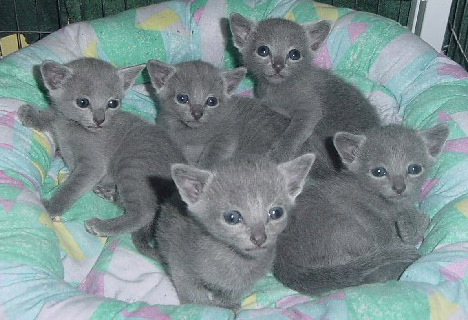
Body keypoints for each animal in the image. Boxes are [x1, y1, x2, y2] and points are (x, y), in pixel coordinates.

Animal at [18, 58, 186, 236]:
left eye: (112, 103)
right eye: (82, 102)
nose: (99, 119)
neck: (74, 127)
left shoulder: (93, 165)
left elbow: (71, 187)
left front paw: (50, 207)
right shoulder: (60, 119)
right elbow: (52, 115)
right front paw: (32, 115)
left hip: (133, 163)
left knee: (144, 212)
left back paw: (102, 226)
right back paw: (107, 192)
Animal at [155, 154, 312, 308]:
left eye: (276, 213)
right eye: (232, 217)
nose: (259, 238)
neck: (234, 259)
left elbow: (234, 291)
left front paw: (229, 304)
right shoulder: (179, 259)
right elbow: (189, 288)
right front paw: (198, 306)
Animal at [229, 14, 380, 172]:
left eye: (294, 54)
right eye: (263, 50)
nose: (278, 66)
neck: (277, 89)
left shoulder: (310, 108)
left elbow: (295, 131)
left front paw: (280, 153)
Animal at [274, 124, 450, 294]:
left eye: (414, 169)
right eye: (378, 171)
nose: (399, 188)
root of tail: (284, 265)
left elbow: (420, 217)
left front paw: (410, 225)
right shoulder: (353, 203)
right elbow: (380, 224)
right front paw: (400, 237)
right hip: (343, 226)